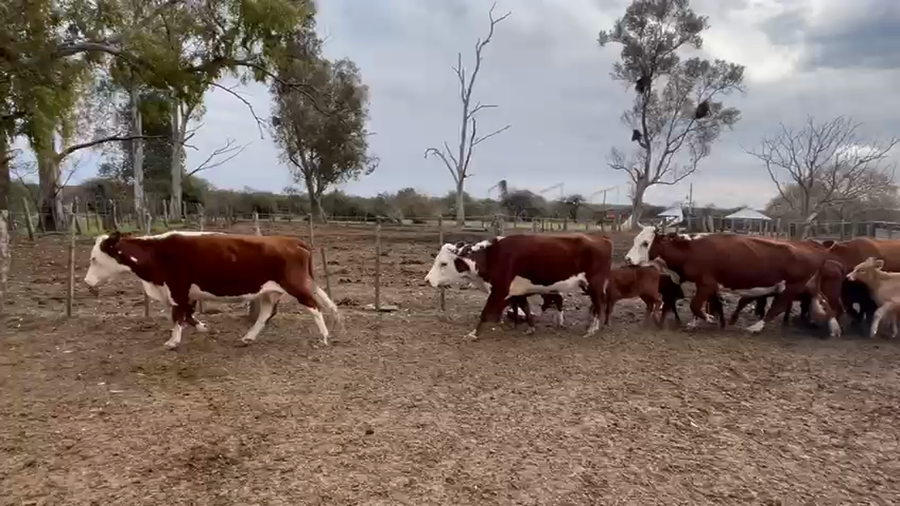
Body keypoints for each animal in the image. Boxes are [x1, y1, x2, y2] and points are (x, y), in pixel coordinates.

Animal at [83, 230, 343, 349]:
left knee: (314, 307)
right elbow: (187, 315)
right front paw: (203, 328)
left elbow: (177, 316)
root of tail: (291, 240)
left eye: (94, 259)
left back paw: (324, 337)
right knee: (267, 313)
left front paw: (173, 341)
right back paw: (248, 337)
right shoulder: (186, 294)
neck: (157, 254)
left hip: (295, 285)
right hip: (271, 291)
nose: (87, 282)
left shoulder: (177, 289)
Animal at [425, 234, 612, 340]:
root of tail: (603, 239)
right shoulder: (518, 291)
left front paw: (473, 334)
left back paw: (592, 329)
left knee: (599, 305)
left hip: (594, 285)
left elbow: (485, 312)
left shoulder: (499, 290)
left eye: (443, 263)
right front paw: (530, 328)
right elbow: (526, 308)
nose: (427, 280)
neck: (493, 255)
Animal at [624, 226, 845, 337]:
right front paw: (698, 322)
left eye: (645, 243)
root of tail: (815, 245)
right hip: (810, 286)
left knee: (779, 306)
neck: (690, 250)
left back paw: (756, 327)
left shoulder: (707, 283)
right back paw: (834, 329)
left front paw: (708, 319)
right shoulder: (707, 286)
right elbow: (702, 305)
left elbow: (696, 304)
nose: (627, 259)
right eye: (635, 240)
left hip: (792, 286)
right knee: (827, 305)